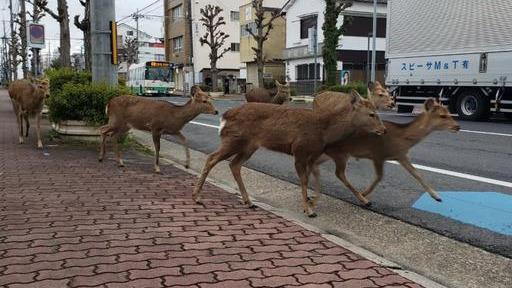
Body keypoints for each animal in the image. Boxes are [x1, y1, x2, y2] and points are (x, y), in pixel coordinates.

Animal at [194, 91, 386, 217]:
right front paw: (309, 210)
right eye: (372, 114)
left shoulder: (312, 154)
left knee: (234, 164)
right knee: (212, 158)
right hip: (234, 140)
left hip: (249, 146)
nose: (383, 130)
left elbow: (311, 178)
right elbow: (304, 180)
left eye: (377, 112)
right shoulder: (299, 150)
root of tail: (224, 116)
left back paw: (249, 202)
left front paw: (365, 200)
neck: (324, 130)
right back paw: (197, 196)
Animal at [308, 98, 460, 207]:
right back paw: (363, 200)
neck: (402, 138)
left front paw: (437, 196)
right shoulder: (378, 154)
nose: (457, 126)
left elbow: (417, 174)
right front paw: (364, 193)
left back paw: (311, 196)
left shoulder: (401, 155)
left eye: (449, 113)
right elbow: (379, 176)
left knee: (313, 165)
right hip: (340, 153)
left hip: (328, 154)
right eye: (442, 116)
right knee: (338, 173)